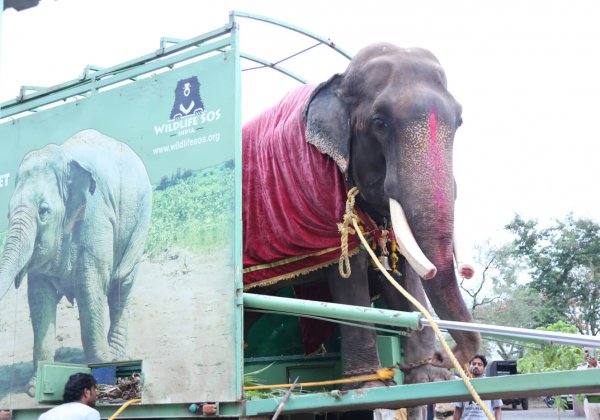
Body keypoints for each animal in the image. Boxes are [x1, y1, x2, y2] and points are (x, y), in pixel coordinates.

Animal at [0, 130, 152, 396]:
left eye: (43, 211)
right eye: (8, 214)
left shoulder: (96, 216)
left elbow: (90, 289)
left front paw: (102, 372)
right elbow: (39, 300)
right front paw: (34, 388)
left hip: (139, 223)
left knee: (121, 287)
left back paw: (117, 357)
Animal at [241, 43, 480, 390]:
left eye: (460, 121)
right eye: (379, 122)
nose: (443, 356)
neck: (337, 82)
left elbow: (403, 274)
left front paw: (426, 378)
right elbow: (349, 276)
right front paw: (368, 385)